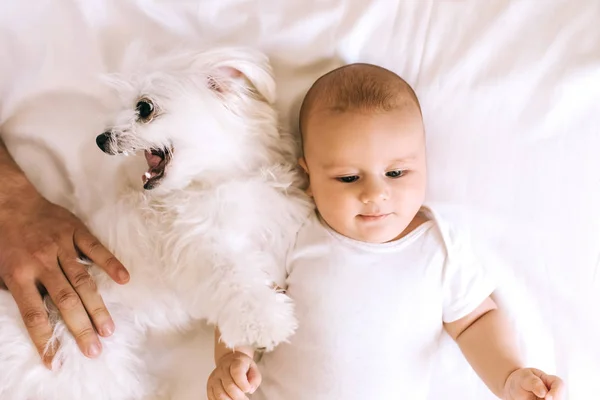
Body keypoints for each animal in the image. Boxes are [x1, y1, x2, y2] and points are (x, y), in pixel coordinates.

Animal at [0, 47, 312, 400]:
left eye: (144, 108)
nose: (100, 139)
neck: (215, 180)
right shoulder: (195, 242)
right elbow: (232, 278)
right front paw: (264, 322)